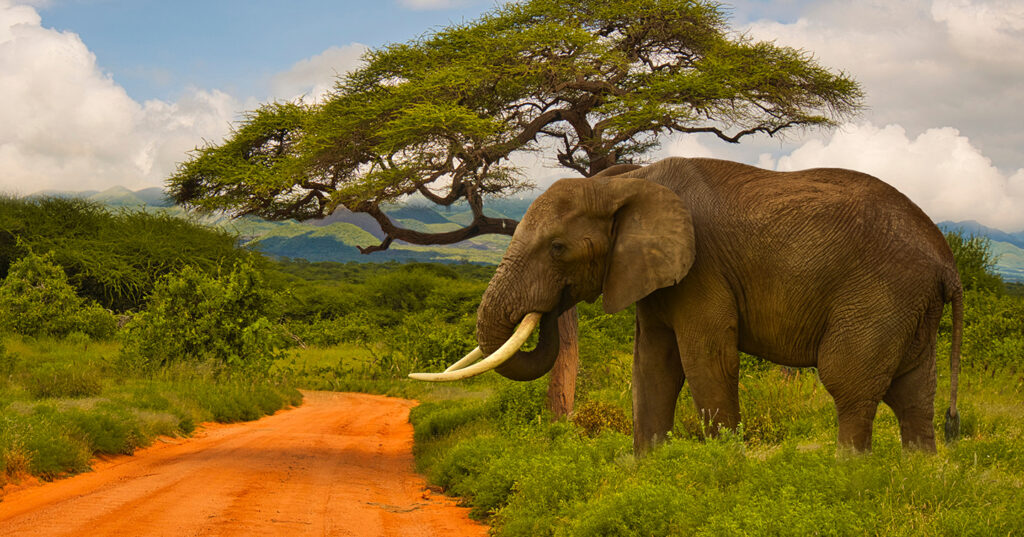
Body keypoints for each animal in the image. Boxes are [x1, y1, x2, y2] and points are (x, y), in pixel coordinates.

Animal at [407, 155, 958, 452]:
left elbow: (705, 362)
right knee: (914, 396)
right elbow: (653, 368)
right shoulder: (652, 274)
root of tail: (945, 260)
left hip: (880, 293)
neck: (627, 181)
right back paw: (916, 474)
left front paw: (722, 470)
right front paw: (650, 470)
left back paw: (849, 477)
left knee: (851, 385)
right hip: (911, 307)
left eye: (558, 248)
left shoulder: (701, 269)